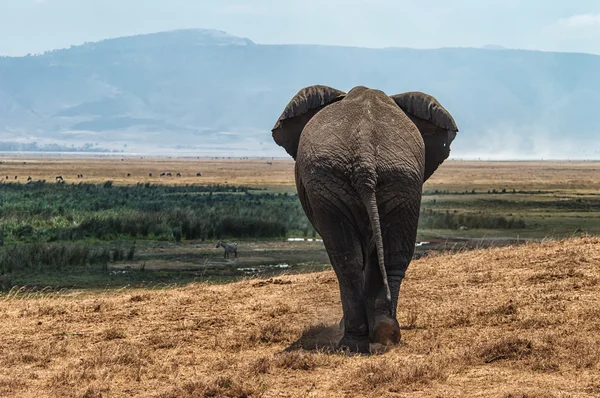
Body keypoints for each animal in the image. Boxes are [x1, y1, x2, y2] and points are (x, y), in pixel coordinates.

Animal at [272, 85, 460, 352]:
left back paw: (353, 343)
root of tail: (365, 157)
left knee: (346, 259)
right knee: (389, 257)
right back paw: (385, 333)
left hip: (334, 184)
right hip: (399, 180)